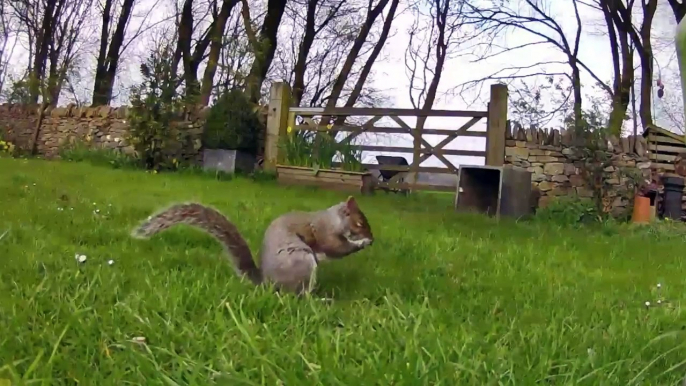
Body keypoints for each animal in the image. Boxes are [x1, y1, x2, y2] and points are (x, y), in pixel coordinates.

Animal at [129, 198, 376, 294]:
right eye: (359, 223)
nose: (372, 239)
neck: (333, 219)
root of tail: (266, 284)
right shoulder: (325, 234)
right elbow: (338, 248)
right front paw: (361, 242)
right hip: (302, 262)